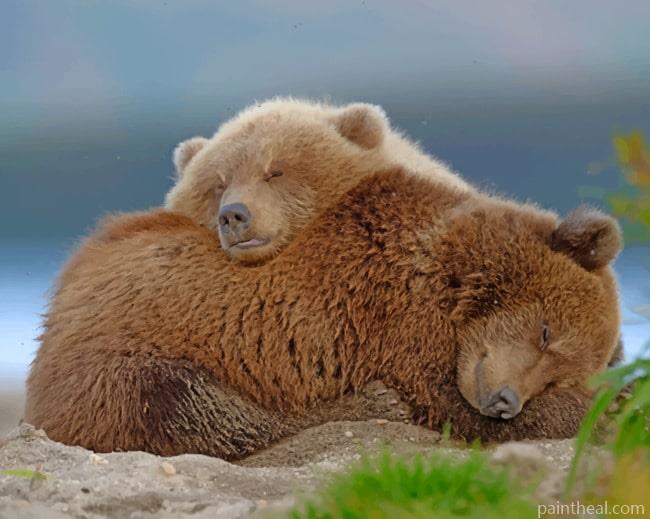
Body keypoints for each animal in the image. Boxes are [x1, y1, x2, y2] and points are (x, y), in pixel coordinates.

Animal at [25, 167, 622, 459]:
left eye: (556, 373)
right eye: (546, 332)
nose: (505, 401)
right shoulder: (398, 318)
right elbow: (445, 401)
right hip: (115, 359)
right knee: (186, 406)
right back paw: (364, 403)